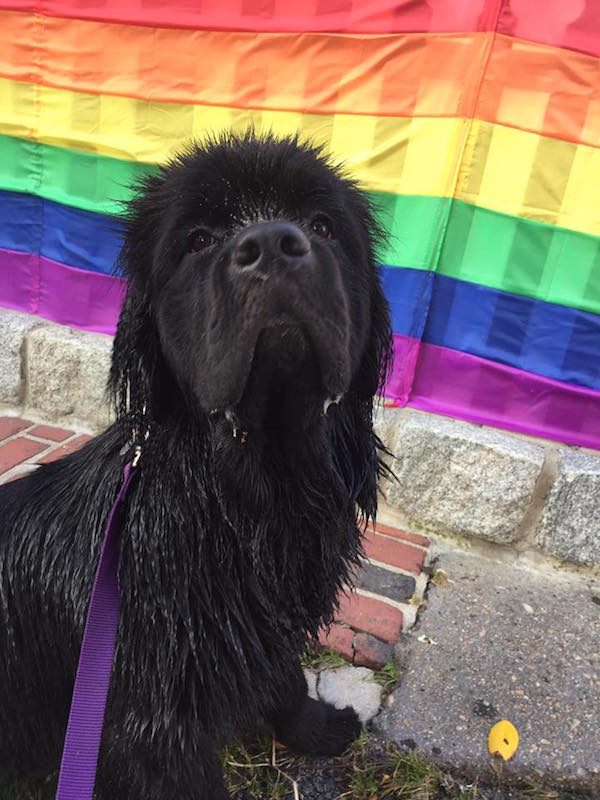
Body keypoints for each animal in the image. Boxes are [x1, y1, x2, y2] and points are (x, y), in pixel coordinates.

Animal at [0, 134, 392, 796]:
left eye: (322, 225)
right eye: (200, 239)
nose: (272, 244)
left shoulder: (268, 624)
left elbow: (285, 676)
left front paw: (317, 730)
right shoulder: (158, 724)